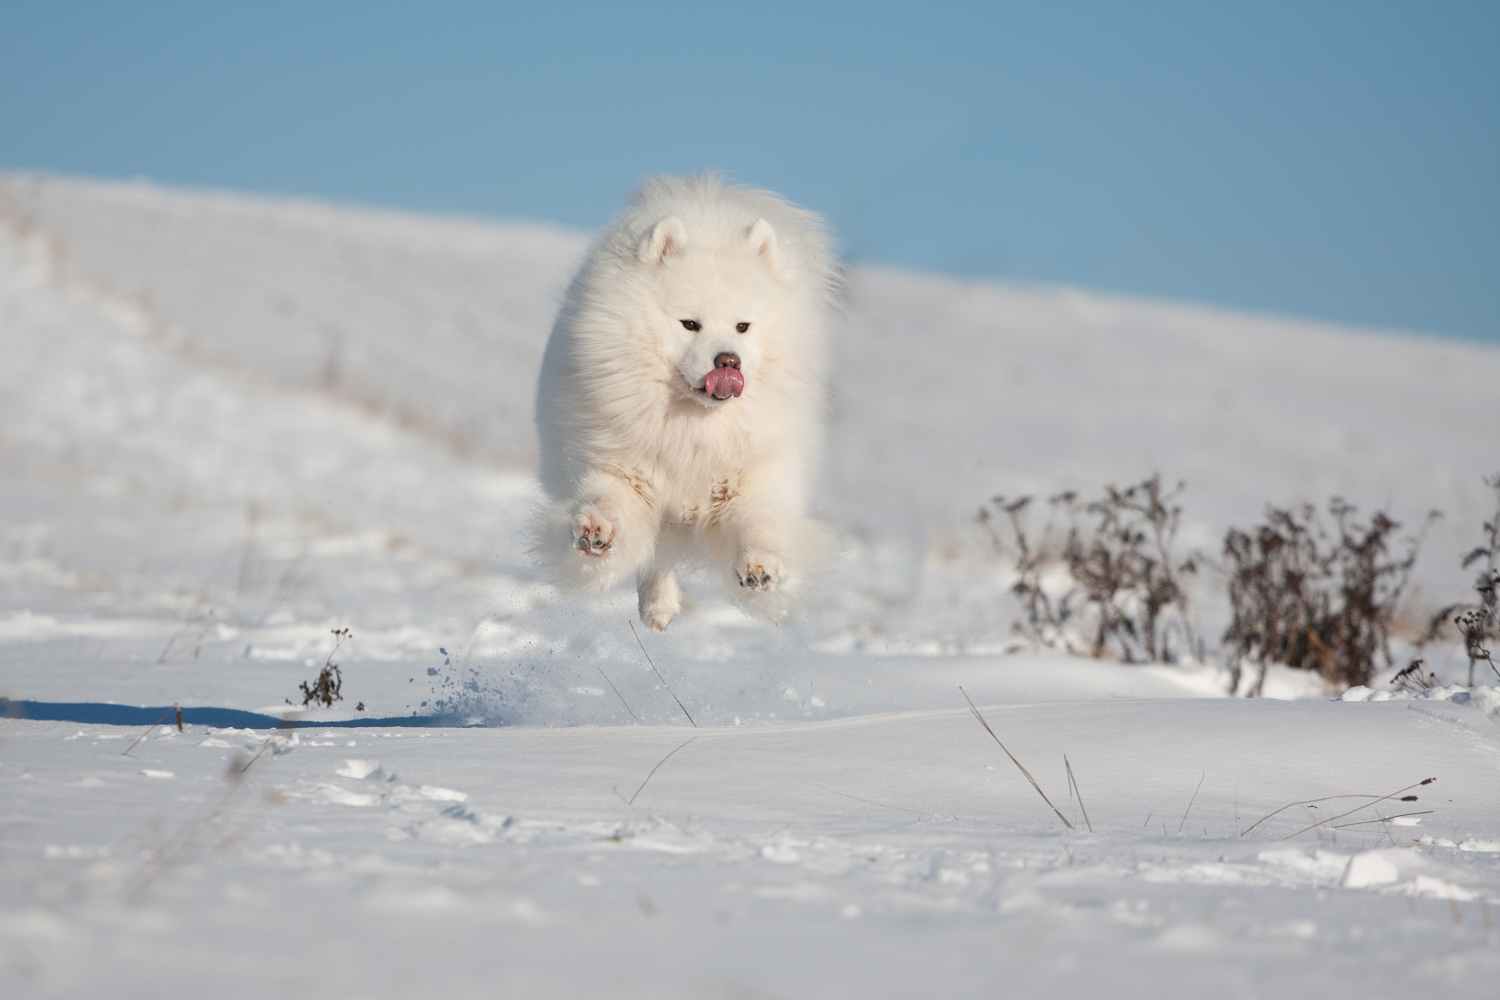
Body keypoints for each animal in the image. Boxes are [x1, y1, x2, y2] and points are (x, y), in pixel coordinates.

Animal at [534, 170, 840, 626]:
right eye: (689, 324)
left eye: (743, 326)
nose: (728, 361)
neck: (693, 431)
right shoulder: (619, 469)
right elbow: (609, 503)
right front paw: (594, 531)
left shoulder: (755, 478)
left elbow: (758, 524)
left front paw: (760, 569)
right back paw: (656, 608)